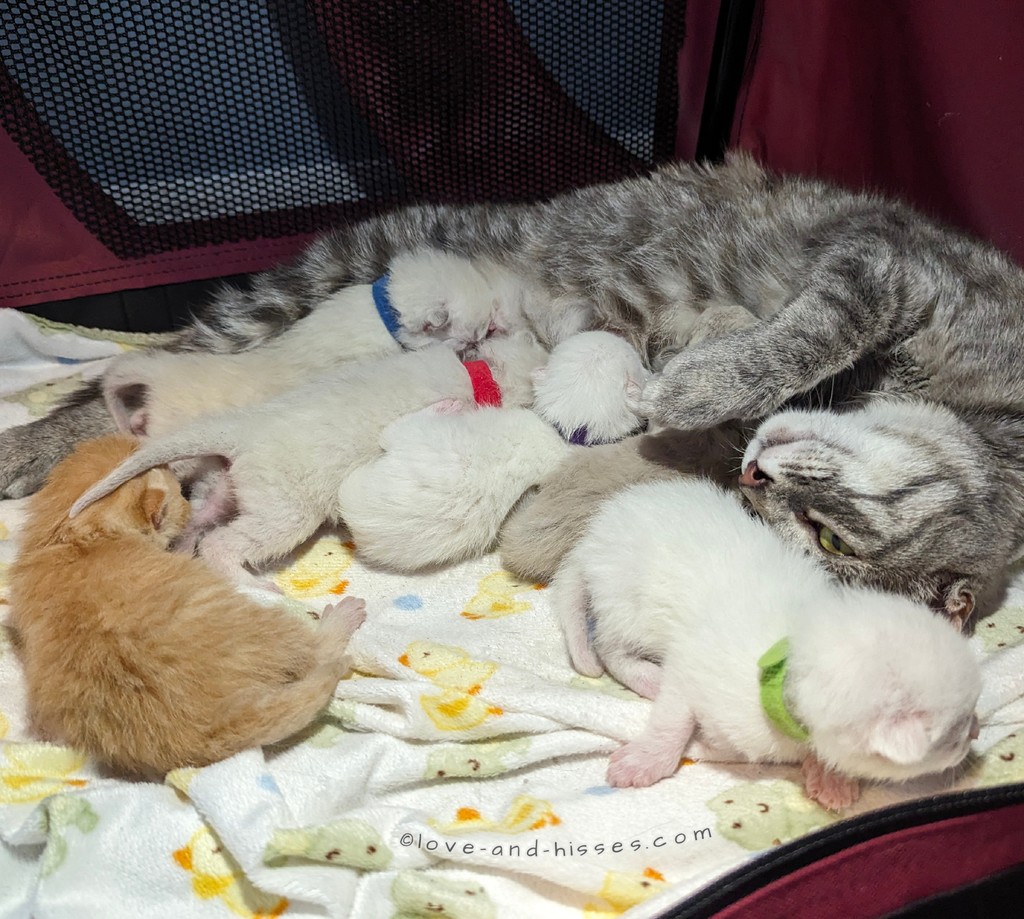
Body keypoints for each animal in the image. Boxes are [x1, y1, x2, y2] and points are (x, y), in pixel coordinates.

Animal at [8, 434, 366, 770]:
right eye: (181, 492)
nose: (190, 504)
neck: (73, 537)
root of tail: (208, 727)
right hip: (269, 622)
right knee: (317, 650)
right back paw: (342, 615)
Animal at [552, 477, 983, 807]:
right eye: (956, 734)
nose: (978, 731)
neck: (786, 654)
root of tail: (592, 538)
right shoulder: (693, 664)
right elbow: (673, 719)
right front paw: (645, 761)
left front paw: (830, 778)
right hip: (629, 603)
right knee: (610, 649)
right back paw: (648, 678)